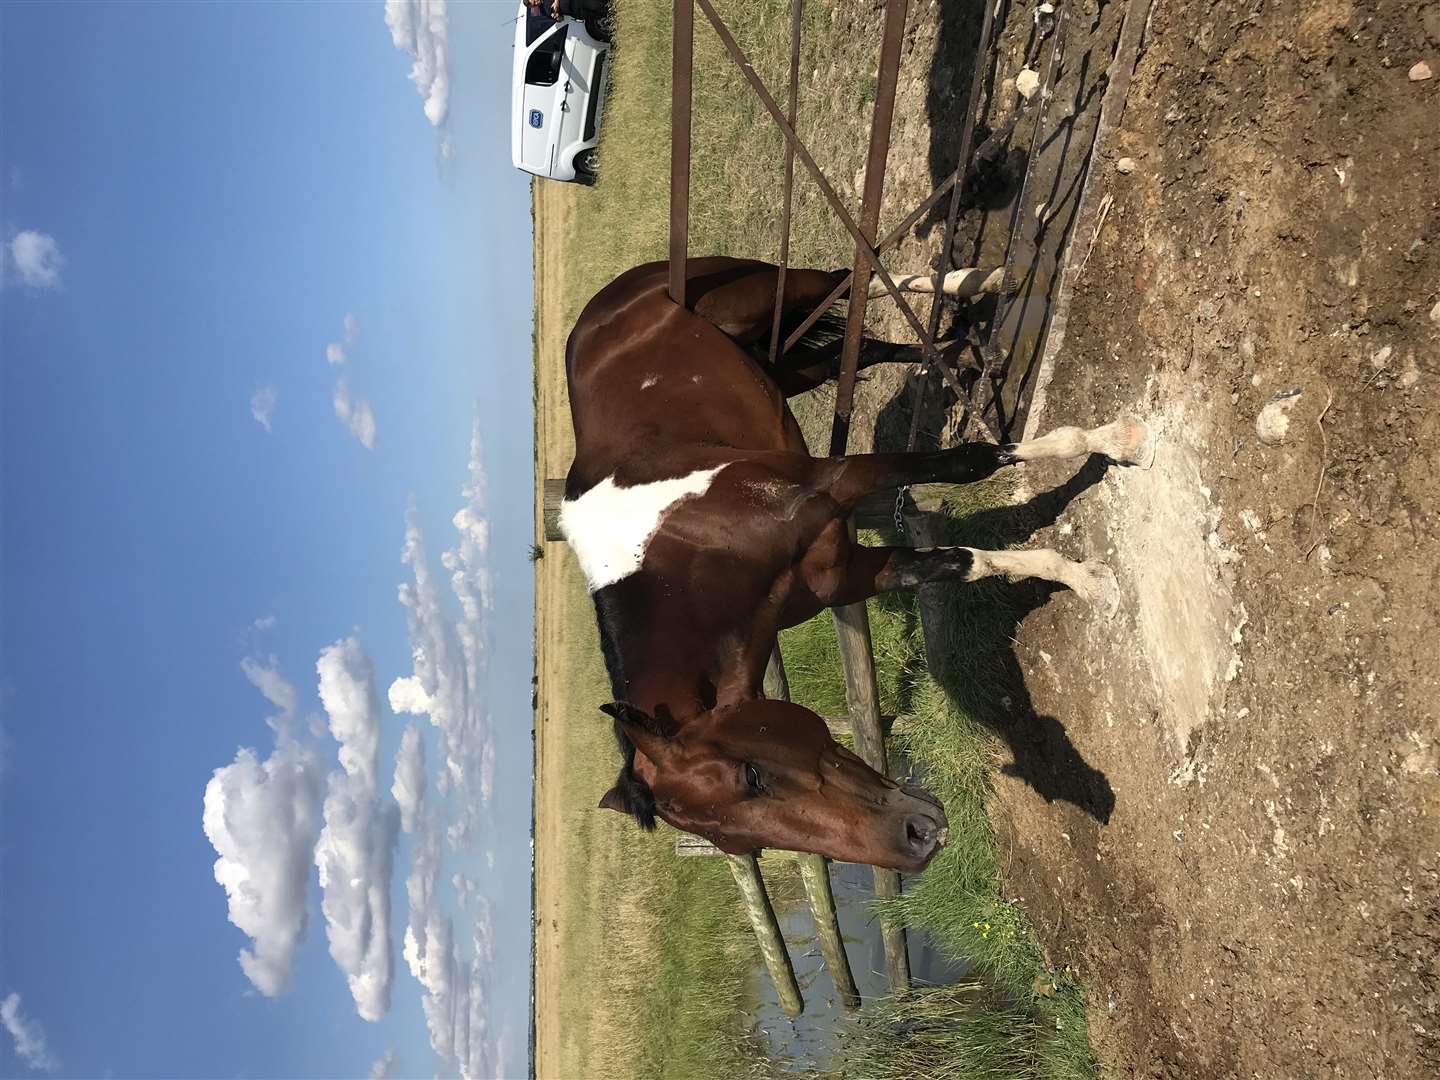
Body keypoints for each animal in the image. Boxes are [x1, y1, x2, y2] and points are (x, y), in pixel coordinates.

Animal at [555, 257, 1152, 875]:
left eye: (752, 774)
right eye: (746, 845)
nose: (917, 837)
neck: (690, 553)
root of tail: (604, 305)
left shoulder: (835, 482)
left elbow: (970, 464)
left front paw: (1115, 442)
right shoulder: (844, 577)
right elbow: (958, 562)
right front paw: (1083, 578)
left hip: (767, 292)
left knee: (846, 277)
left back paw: (979, 283)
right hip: (780, 367)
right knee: (863, 347)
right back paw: (959, 343)